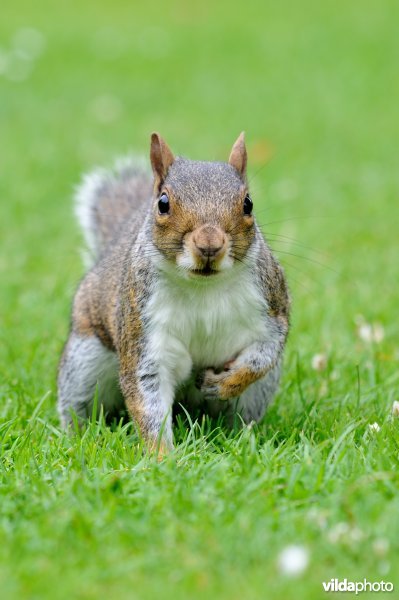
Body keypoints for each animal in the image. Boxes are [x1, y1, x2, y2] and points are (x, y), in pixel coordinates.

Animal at [57, 134, 290, 452]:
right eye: (163, 203)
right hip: (84, 364)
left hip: (256, 395)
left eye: (248, 204)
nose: (209, 245)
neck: (203, 287)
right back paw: (78, 437)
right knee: (78, 405)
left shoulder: (272, 306)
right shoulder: (142, 332)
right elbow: (147, 399)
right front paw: (162, 456)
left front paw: (226, 382)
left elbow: (264, 354)